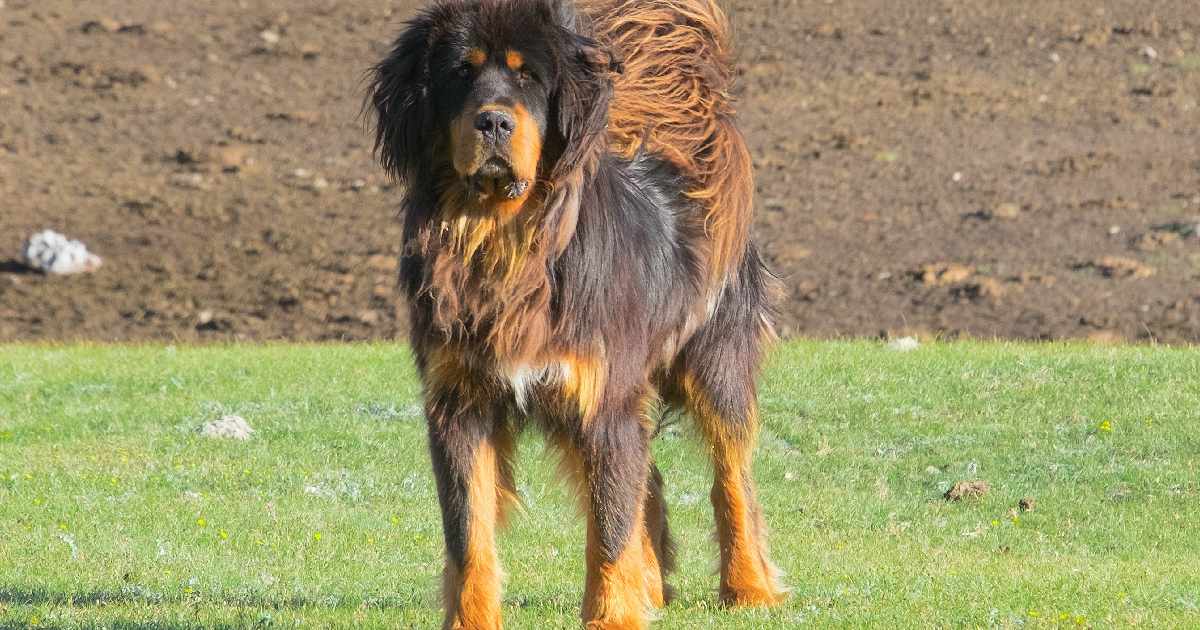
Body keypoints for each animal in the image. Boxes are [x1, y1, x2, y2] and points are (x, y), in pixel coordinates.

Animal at [369, 2, 787, 624]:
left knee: (729, 476)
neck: (505, 241)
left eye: (528, 77)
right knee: (647, 479)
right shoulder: (460, 402)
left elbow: (608, 529)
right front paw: (471, 620)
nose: (493, 123)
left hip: (713, 364)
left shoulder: (601, 398)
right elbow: (469, 533)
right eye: (460, 73)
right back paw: (653, 586)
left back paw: (749, 587)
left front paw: (612, 617)